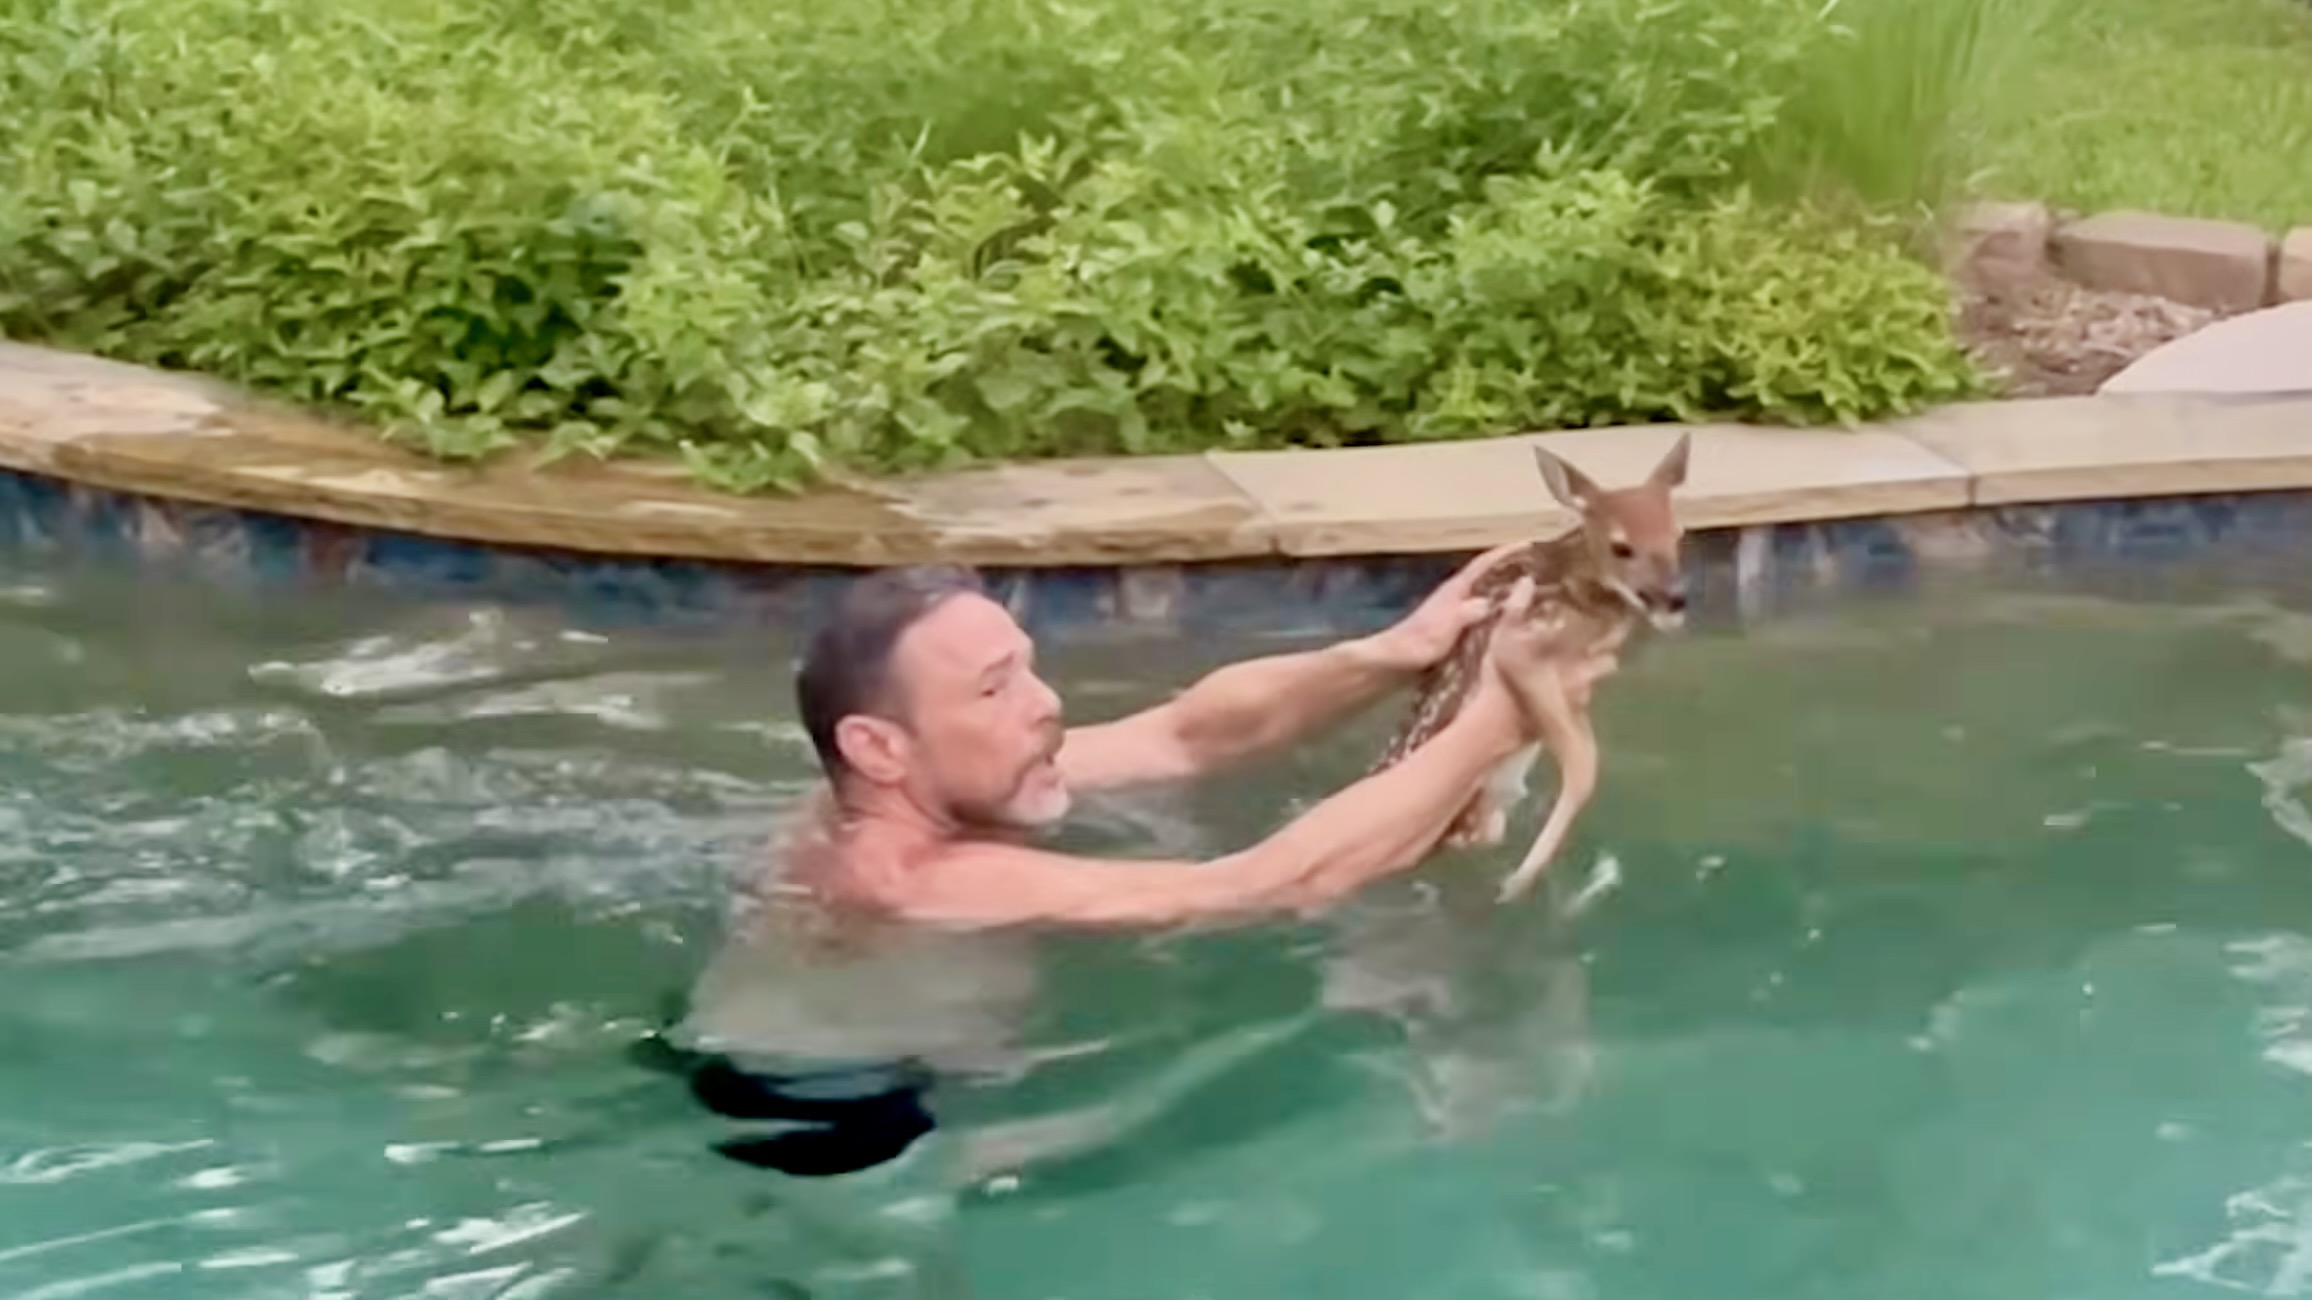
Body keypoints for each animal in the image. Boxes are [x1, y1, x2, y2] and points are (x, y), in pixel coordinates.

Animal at [1367, 433, 1692, 904]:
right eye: (1621, 546)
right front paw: (1522, 879)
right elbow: (1583, 769)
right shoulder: (1523, 644)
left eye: (1678, 535)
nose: (1675, 599)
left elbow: (1588, 759)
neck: (1579, 592)